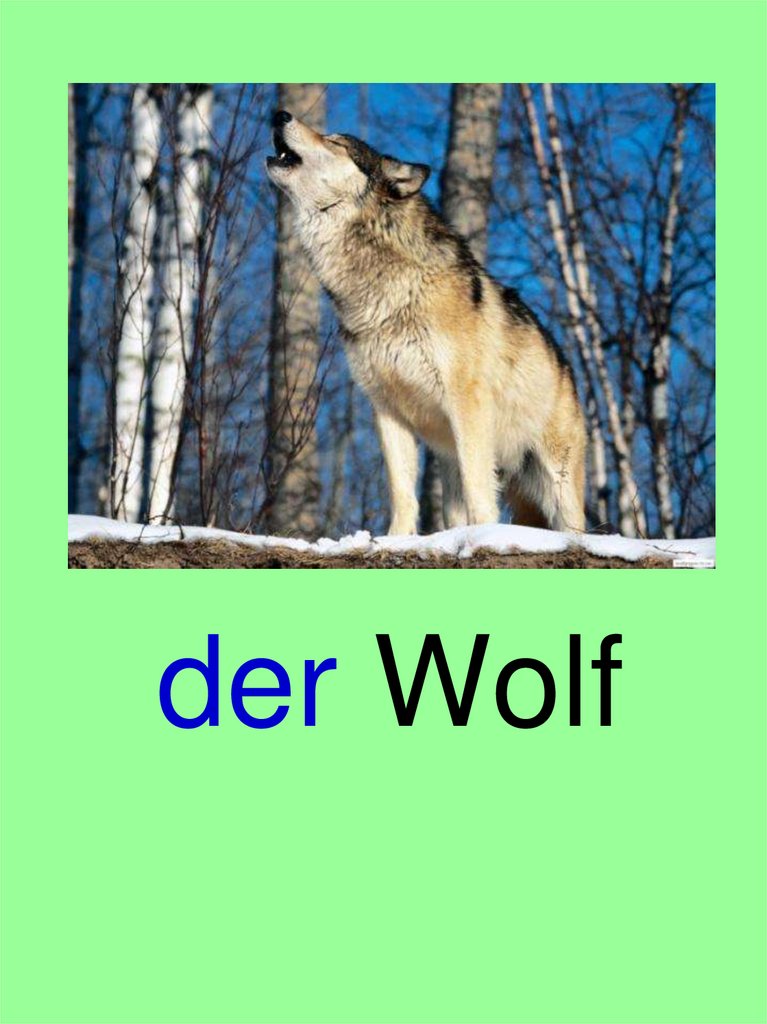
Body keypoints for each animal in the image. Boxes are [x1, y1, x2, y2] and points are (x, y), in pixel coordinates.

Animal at [266, 109, 586, 534]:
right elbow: (402, 493)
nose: (279, 114)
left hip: (556, 481)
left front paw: (482, 536)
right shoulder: (387, 411)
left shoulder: (466, 404)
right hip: (453, 465)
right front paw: (396, 539)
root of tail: (567, 366)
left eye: (335, 142)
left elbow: (479, 490)